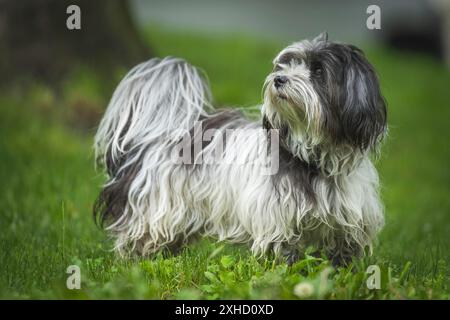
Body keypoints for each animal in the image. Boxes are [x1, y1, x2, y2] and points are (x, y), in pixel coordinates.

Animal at [92, 32, 386, 264]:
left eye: (318, 71)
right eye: (287, 65)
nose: (279, 79)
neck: (313, 157)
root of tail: (160, 133)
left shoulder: (348, 220)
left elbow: (341, 254)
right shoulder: (276, 219)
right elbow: (284, 253)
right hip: (157, 208)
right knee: (141, 235)